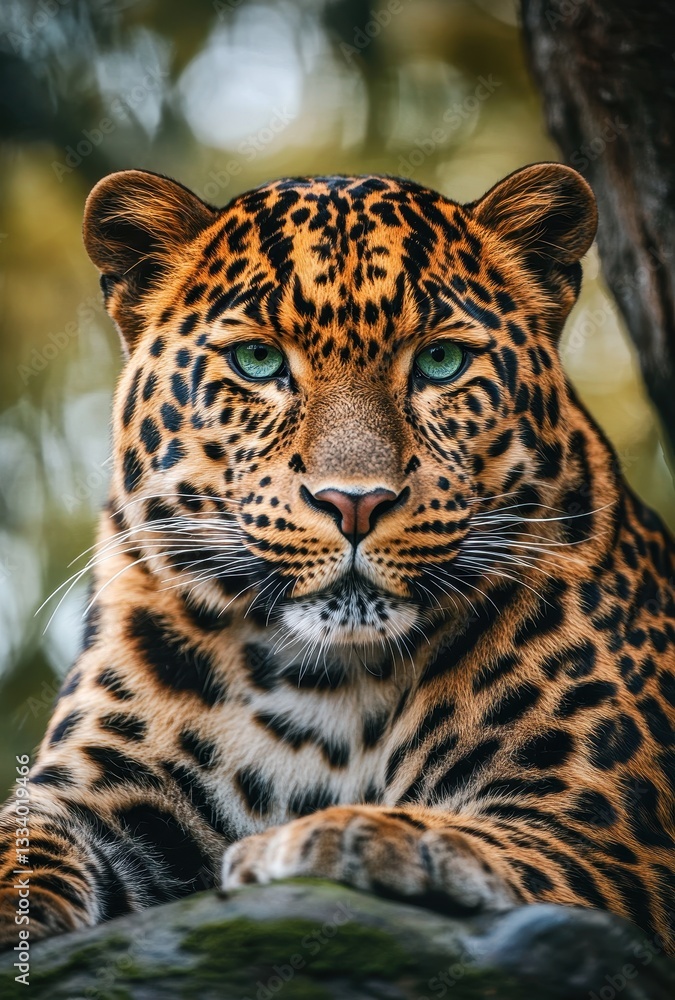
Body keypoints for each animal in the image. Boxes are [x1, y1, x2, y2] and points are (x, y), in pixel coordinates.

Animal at [1, 162, 675, 953]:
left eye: (441, 361)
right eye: (257, 360)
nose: (354, 503)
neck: (327, 681)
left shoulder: (603, 831)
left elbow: (476, 837)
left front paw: (335, 836)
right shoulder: (92, 792)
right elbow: (21, 838)